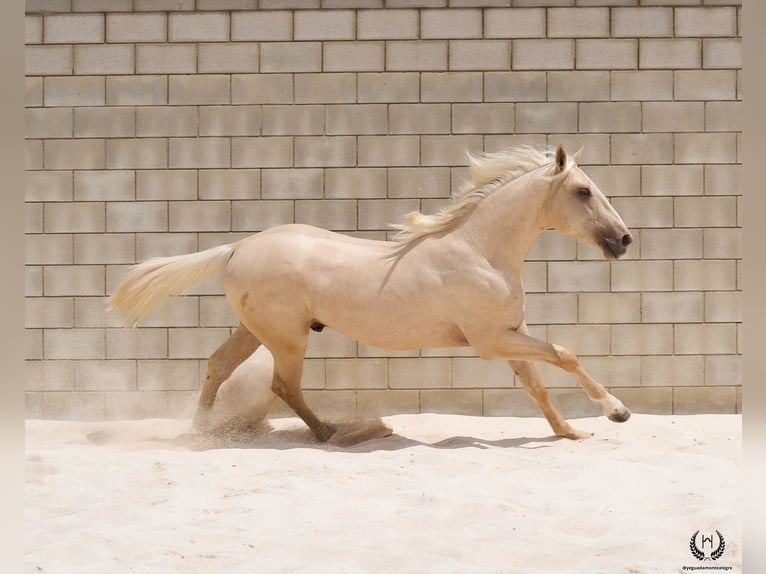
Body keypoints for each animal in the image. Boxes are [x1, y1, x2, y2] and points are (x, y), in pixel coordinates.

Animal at [109, 144, 634, 442]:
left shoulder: (510, 332)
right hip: (287, 337)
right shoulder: (490, 340)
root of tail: (238, 247)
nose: (624, 240)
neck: (479, 250)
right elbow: (564, 354)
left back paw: (202, 431)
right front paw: (616, 412)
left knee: (218, 365)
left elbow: (537, 383)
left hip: (255, 330)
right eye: (584, 191)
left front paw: (569, 432)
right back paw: (330, 433)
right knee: (283, 385)